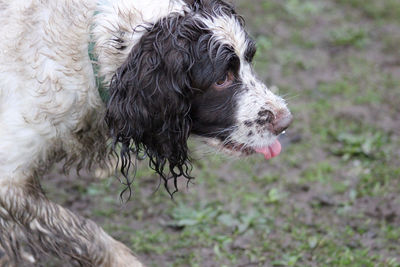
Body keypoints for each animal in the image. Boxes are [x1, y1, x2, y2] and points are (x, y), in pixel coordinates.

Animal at [0, 0, 292, 266]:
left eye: (249, 60)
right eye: (222, 79)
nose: (286, 121)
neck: (85, 47)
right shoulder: (9, 177)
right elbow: (77, 230)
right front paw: (121, 259)